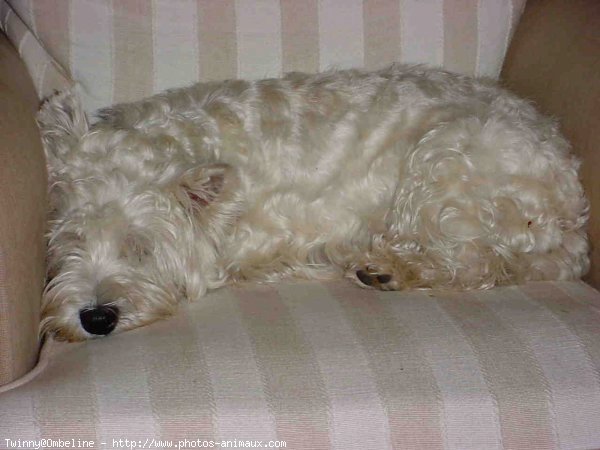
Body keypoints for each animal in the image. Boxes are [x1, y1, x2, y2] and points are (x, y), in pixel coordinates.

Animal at [38, 64, 592, 342]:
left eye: (141, 247)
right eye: (71, 242)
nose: (97, 319)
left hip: (443, 162)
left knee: (475, 261)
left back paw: (385, 267)